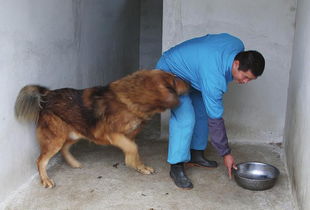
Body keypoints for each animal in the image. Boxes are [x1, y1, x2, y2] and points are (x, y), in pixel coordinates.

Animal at [14, 69, 188, 188]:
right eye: (175, 79)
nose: (190, 84)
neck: (133, 97)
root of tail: (47, 95)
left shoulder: (128, 136)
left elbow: (133, 148)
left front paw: (140, 166)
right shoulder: (113, 134)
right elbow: (133, 148)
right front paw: (132, 163)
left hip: (76, 133)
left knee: (64, 148)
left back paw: (73, 163)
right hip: (56, 139)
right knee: (41, 160)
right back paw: (45, 180)